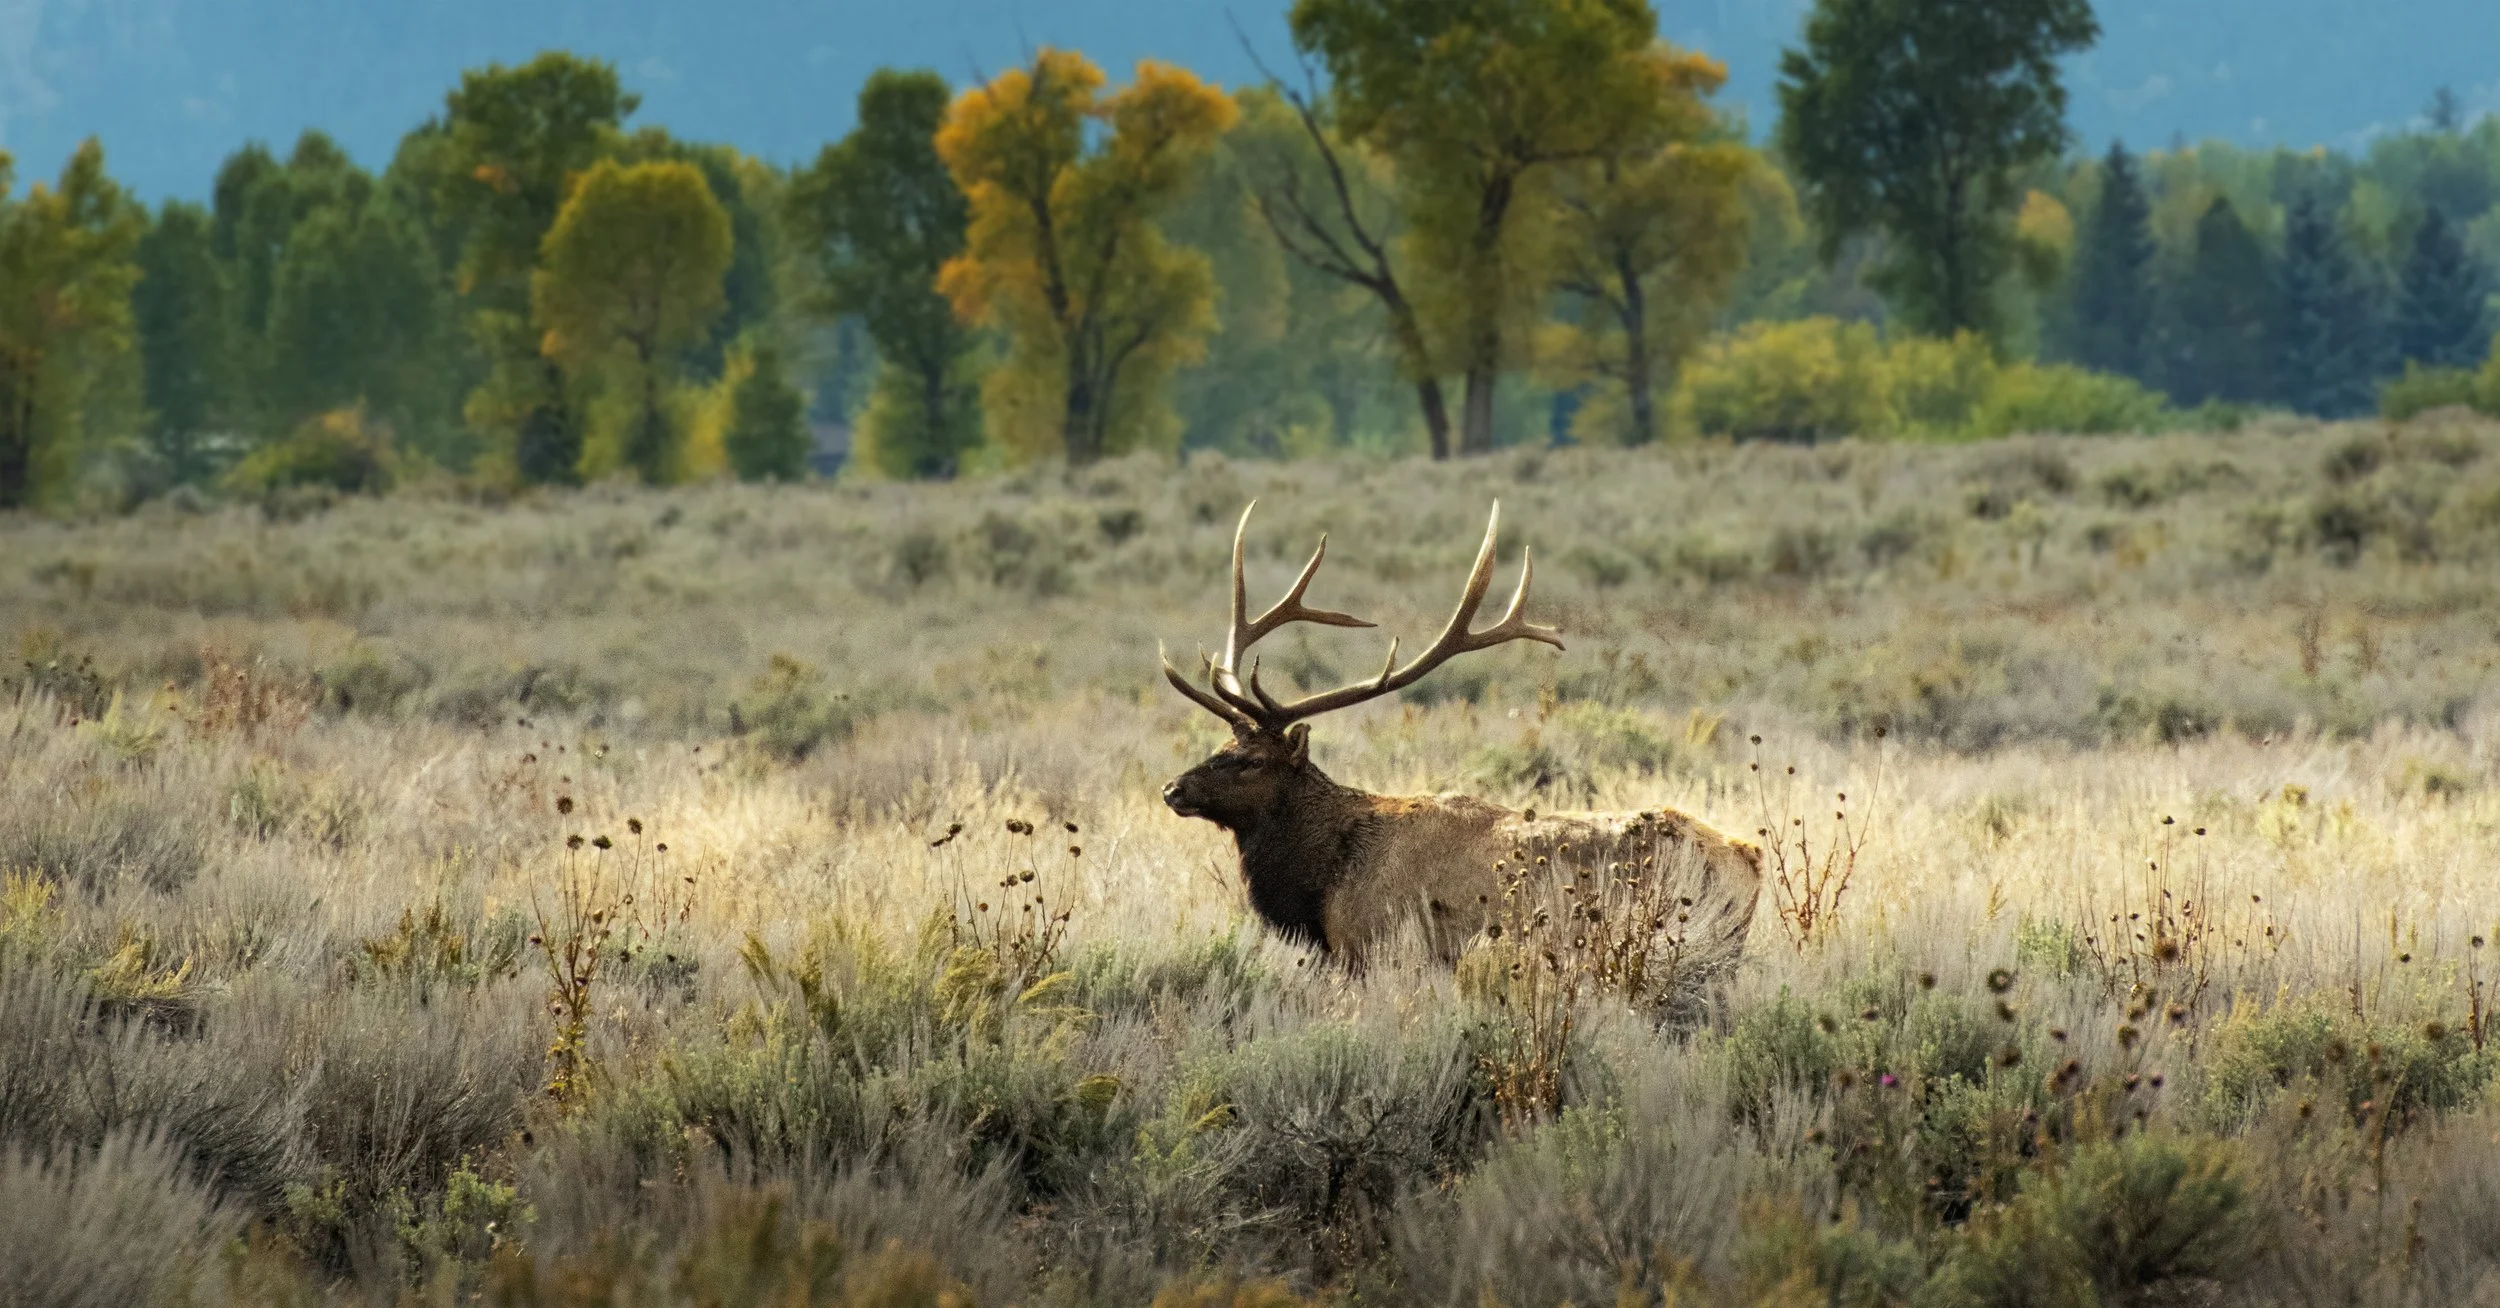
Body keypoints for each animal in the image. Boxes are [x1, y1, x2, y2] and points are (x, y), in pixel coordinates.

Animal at [1160, 501, 1763, 984]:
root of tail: (1750, 858)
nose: (1172, 789)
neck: (1324, 880)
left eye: (1253, 760)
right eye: (1221, 747)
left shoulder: (1381, 948)